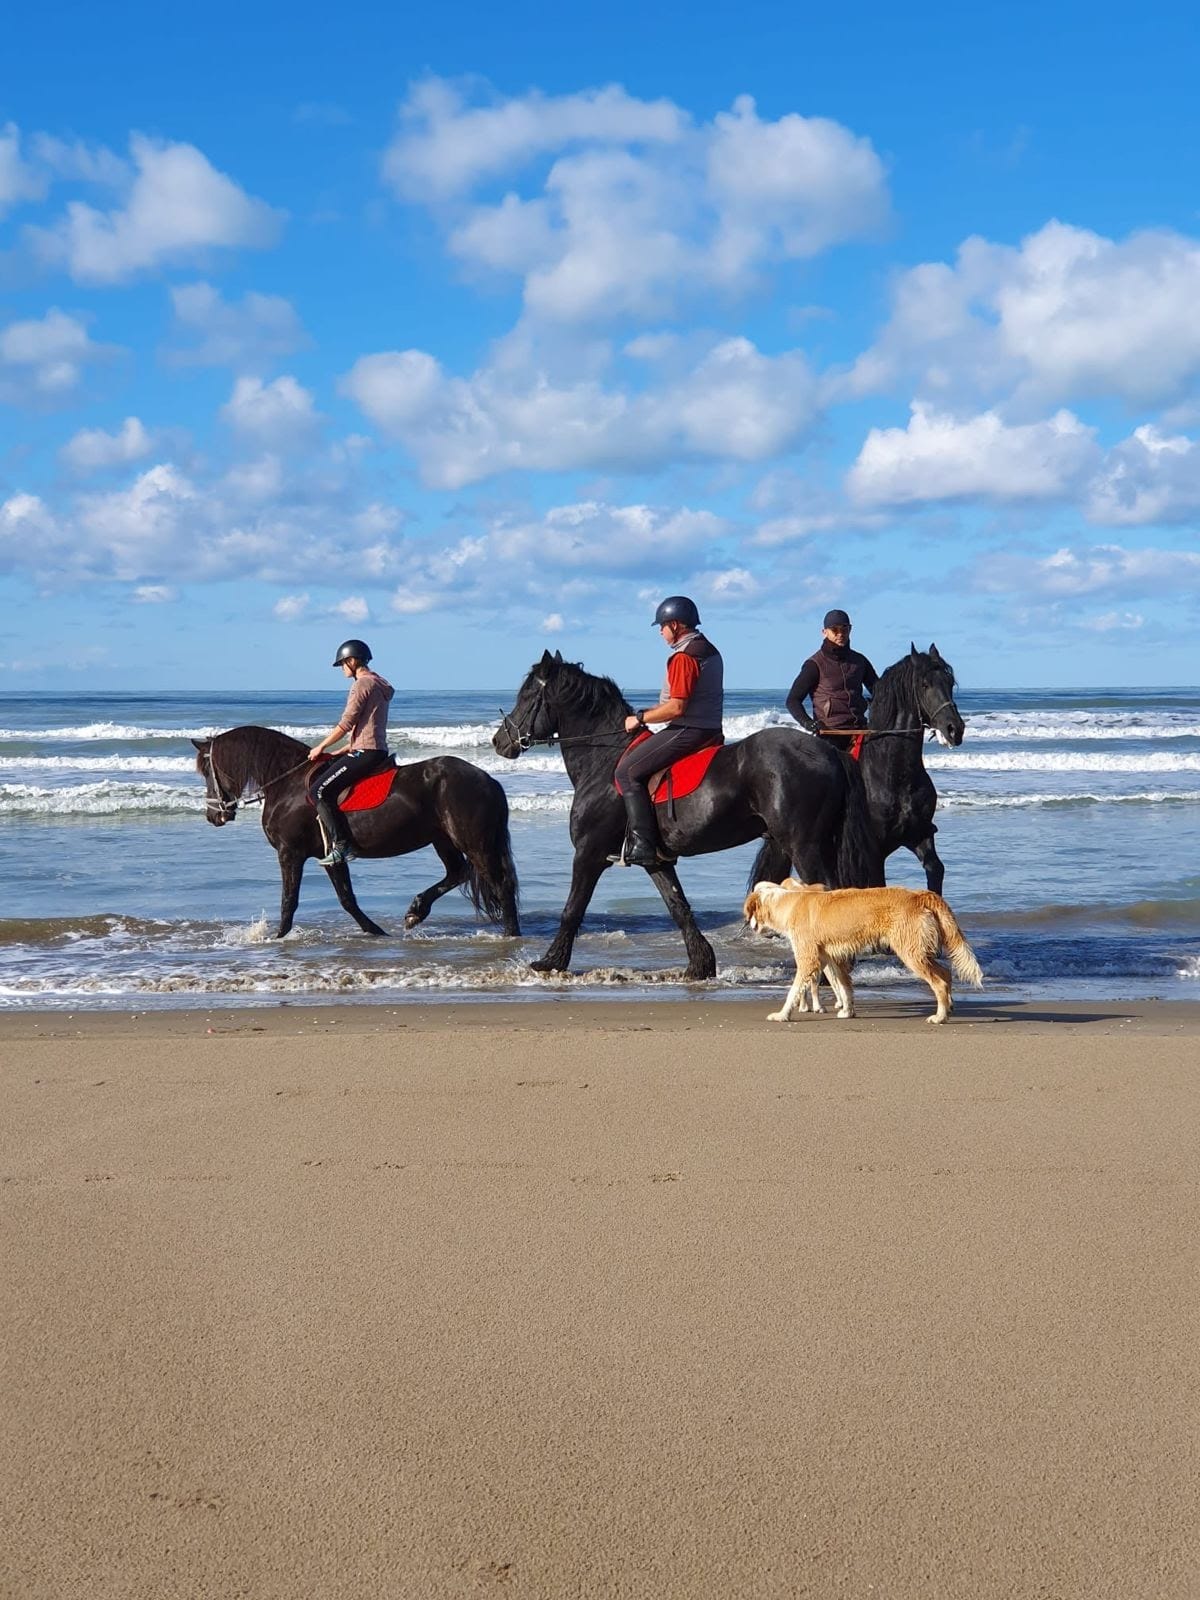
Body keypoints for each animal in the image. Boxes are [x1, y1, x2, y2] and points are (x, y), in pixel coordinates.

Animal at [193, 726, 521, 934]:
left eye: (207, 770)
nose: (213, 815)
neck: (287, 784)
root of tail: (488, 780)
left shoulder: (290, 853)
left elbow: (289, 901)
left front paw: (278, 938)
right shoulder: (328, 856)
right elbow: (347, 899)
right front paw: (376, 932)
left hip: (474, 842)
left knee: (500, 884)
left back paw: (510, 935)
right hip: (444, 840)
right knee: (458, 872)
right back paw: (416, 911)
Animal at [489, 646, 883, 972]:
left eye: (527, 696)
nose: (499, 741)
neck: (603, 761)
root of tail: (829, 751)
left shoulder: (589, 852)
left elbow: (572, 909)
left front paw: (550, 962)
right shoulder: (656, 860)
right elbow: (678, 907)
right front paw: (700, 965)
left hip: (804, 845)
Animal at [742, 876, 985, 1024]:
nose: (748, 926)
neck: (788, 902)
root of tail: (920, 894)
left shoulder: (809, 959)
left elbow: (793, 991)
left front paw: (782, 1015)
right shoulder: (833, 959)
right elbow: (845, 987)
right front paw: (848, 1012)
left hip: (910, 952)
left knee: (940, 982)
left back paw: (940, 1017)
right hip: (917, 950)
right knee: (945, 973)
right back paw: (949, 1007)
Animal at [752, 643, 966, 896]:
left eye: (949, 682)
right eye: (924, 684)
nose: (955, 729)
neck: (895, 775)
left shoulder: (919, 834)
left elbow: (935, 869)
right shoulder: (873, 851)